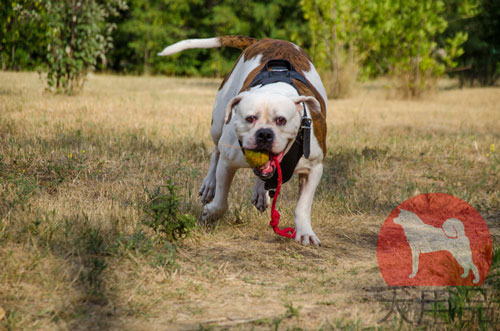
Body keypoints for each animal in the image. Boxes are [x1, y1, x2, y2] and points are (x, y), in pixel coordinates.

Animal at [158, 35, 326, 246]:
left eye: (281, 120)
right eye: (250, 118)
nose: (264, 134)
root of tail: (266, 40)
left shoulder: (314, 168)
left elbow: (303, 205)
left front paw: (304, 232)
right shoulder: (228, 162)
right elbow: (221, 201)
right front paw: (210, 214)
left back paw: (261, 193)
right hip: (218, 123)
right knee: (215, 151)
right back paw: (209, 185)